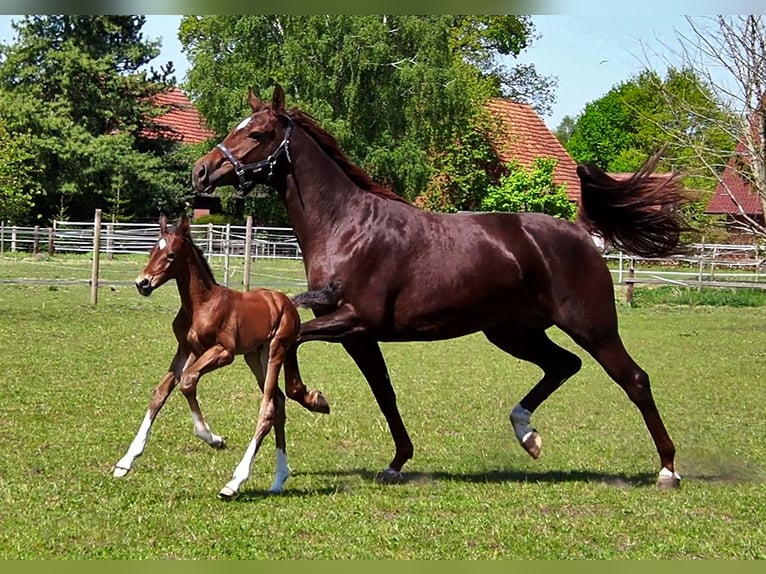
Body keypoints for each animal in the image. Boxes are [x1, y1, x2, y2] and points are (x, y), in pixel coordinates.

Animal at [113, 216, 324, 500]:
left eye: (171, 255)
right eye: (151, 251)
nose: (142, 283)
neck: (201, 304)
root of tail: (288, 302)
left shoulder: (224, 352)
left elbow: (188, 381)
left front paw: (215, 440)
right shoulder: (185, 350)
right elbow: (160, 393)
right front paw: (125, 462)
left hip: (275, 350)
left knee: (268, 408)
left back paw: (234, 482)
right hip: (254, 356)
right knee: (279, 402)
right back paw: (279, 479)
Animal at [190, 84, 688, 490]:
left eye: (257, 134)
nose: (201, 172)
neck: (347, 226)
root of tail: (582, 233)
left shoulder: (354, 320)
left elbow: (294, 345)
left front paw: (313, 398)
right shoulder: (359, 335)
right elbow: (383, 391)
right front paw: (396, 461)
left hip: (592, 328)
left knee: (635, 380)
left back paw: (667, 469)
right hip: (512, 333)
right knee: (563, 365)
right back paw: (527, 434)